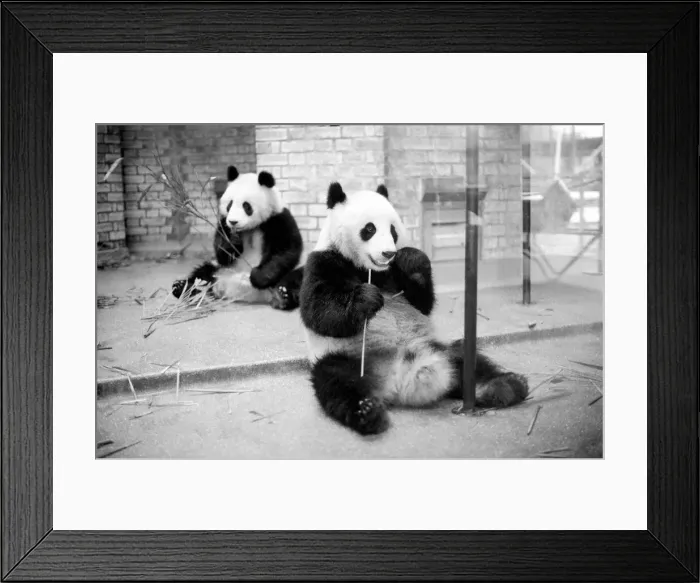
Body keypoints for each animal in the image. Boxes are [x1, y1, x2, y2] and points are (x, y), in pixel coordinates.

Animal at [172, 165, 305, 310]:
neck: (250, 228)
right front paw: (233, 242)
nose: (233, 222)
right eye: (229, 204)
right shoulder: (223, 224)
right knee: (202, 275)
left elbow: (285, 250)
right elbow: (222, 252)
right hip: (219, 270)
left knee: (299, 278)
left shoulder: (278, 219)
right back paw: (182, 287)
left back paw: (283, 295)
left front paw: (257, 276)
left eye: (246, 206)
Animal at [300, 182, 529, 435]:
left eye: (393, 230)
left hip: (434, 346)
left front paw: (413, 259)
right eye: (369, 228)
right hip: (346, 357)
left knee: (467, 358)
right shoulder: (324, 262)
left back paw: (505, 386)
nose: (388, 253)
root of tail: (397, 382)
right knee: (336, 380)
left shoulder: (393, 273)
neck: (370, 270)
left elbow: (422, 302)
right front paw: (366, 298)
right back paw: (367, 412)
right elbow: (320, 311)